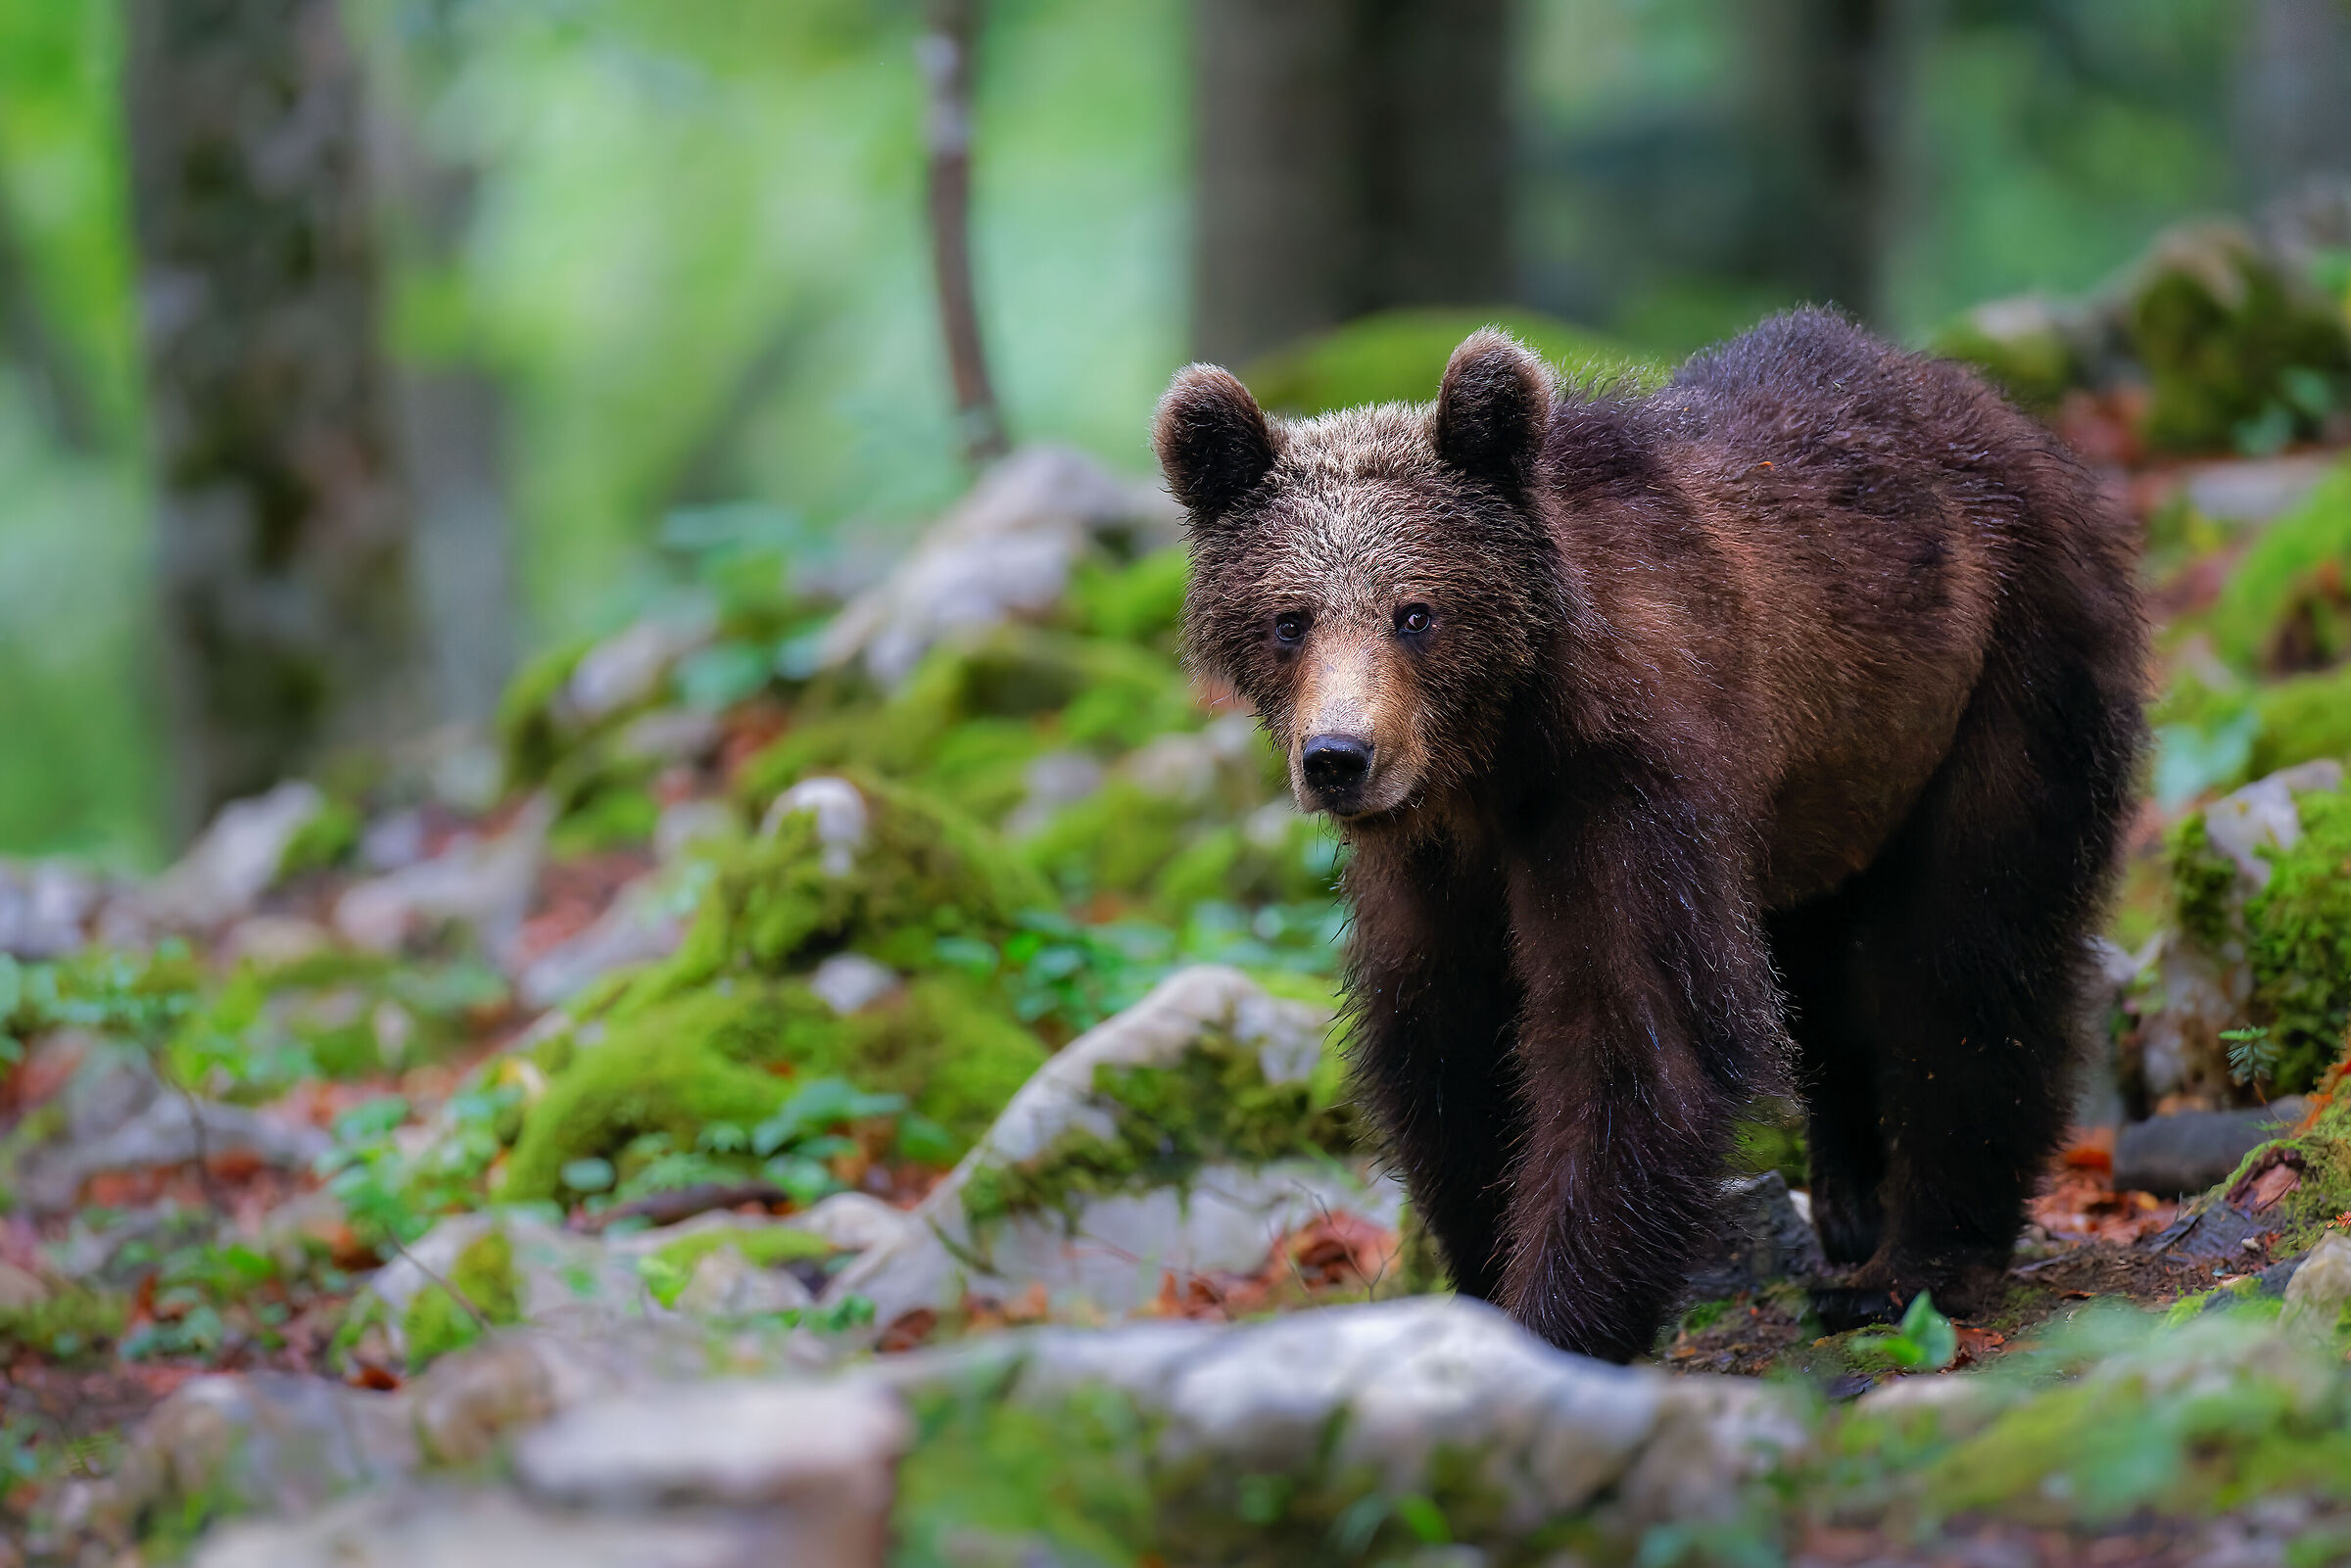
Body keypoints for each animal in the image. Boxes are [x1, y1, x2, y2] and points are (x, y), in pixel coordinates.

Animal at [1153, 309, 2145, 1363]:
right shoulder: (1432, 863)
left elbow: (1636, 1032)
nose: (1339, 756)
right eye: (1289, 618)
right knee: (1825, 964)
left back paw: (1916, 1259)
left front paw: (1557, 1323)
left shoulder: (1623, 788)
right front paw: (1480, 1277)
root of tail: (1999, 410)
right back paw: (1852, 1197)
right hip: (1827, 790)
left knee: (1969, 953)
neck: (1494, 755)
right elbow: (1446, 1043)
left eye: (1416, 611)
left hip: (1998, 678)